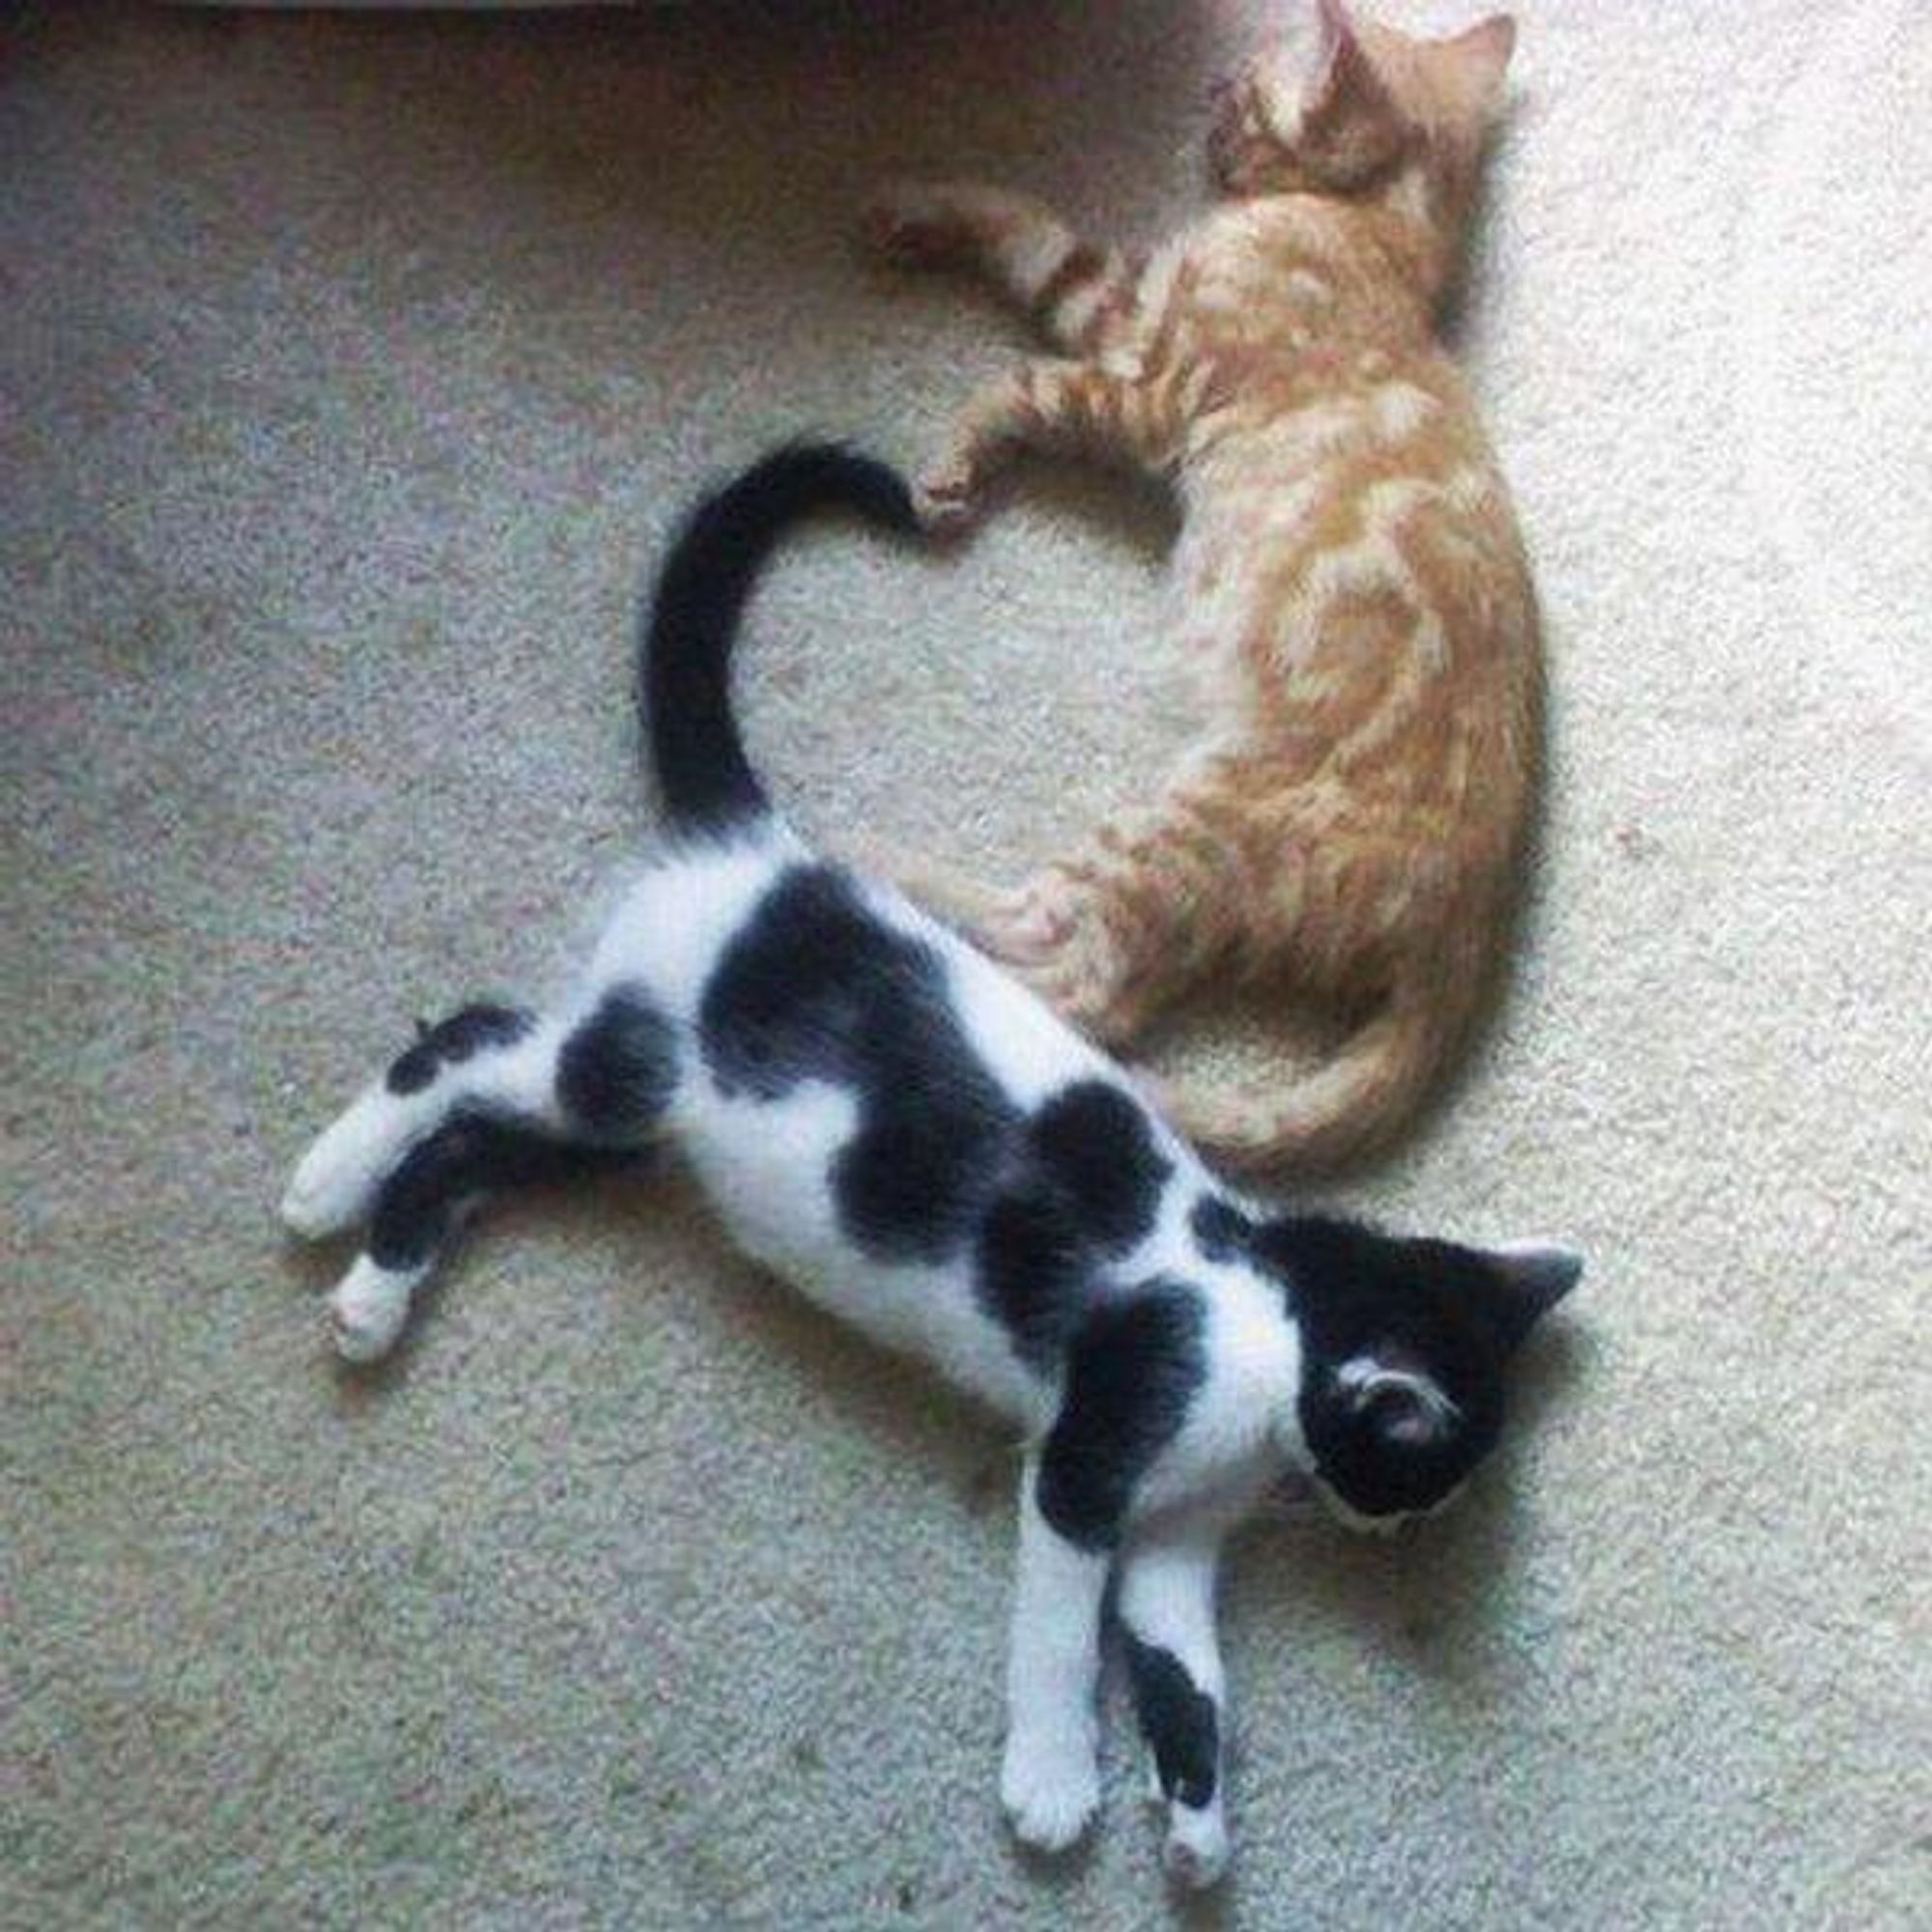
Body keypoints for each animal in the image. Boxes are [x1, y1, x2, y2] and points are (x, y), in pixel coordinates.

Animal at [286, 444, 1584, 1893]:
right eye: (1416, 1477)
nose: (1398, 1534)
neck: (1253, 1312)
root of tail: (769, 858)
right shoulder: (1088, 1462)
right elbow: (1060, 1634)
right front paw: (1054, 1784)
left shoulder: (1174, 1546)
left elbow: (1185, 1678)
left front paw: (1194, 1823)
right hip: (630, 1067)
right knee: (465, 1042)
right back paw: (327, 1182)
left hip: (633, 1138)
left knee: (473, 1148)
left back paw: (372, 1292)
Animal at [869, 0, 1546, 1167]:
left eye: (1239, 90)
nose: (1206, 106)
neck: (1376, 231)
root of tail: (1461, 929)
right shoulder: (1133, 322)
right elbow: (1031, 233)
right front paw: (925, 201)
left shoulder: (1141, 367)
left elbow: (1026, 341)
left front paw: (955, 455)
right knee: (1105, 993)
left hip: (1176, 833)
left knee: (1078, 984)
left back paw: (883, 879)